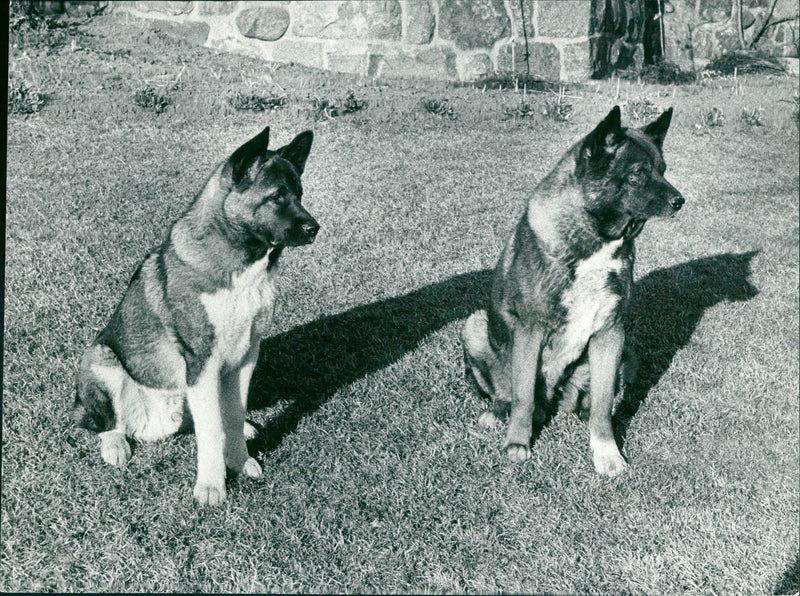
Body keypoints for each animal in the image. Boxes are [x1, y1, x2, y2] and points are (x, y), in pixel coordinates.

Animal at [73, 124, 318, 502]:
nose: (314, 228)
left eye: (300, 194)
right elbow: (211, 430)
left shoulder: (244, 359)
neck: (239, 264)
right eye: (277, 197)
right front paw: (211, 486)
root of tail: (155, 423)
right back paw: (115, 445)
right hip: (100, 357)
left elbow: (231, 417)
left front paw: (240, 461)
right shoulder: (202, 361)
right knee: (107, 422)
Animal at [462, 107, 680, 478]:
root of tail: (554, 400)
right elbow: (522, 397)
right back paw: (499, 412)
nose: (680, 201)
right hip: (475, 325)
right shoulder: (530, 331)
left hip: (625, 355)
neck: (595, 237)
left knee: (591, 400)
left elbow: (605, 404)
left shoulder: (611, 332)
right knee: (509, 395)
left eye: (662, 170)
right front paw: (517, 443)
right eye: (638, 173)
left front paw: (607, 452)